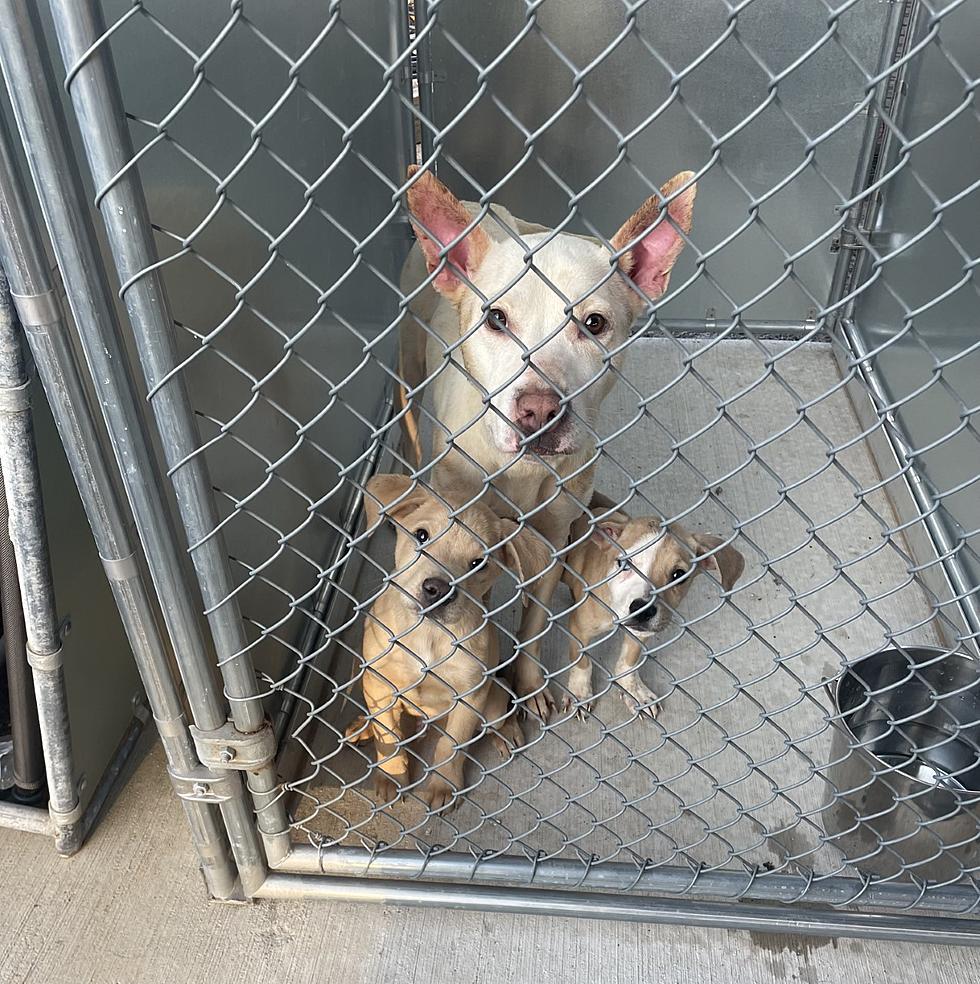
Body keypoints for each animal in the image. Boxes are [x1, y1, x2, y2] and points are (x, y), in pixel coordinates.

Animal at [352, 472, 552, 812]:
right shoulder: (378, 684)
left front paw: (443, 785)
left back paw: (507, 733)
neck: (429, 636)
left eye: (479, 564)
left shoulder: (469, 697)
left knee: (498, 716)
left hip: (492, 701)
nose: (437, 589)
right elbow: (388, 737)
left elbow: (451, 744)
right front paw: (391, 776)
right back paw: (362, 727)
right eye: (421, 535)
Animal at [398, 161, 696, 716]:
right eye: (496, 318)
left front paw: (531, 685)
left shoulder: (553, 543)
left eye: (594, 323)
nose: (538, 411)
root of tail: (478, 205)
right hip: (407, 367)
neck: (522, 470)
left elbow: (536, 625)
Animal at [560, 512, 744, 720]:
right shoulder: (579, 629)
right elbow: (582, 663)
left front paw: (634, 691)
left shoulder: (641, 633)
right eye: (624, 564)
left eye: (678, 575)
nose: (643, 610)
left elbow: (628, 663)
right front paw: (580, 693)